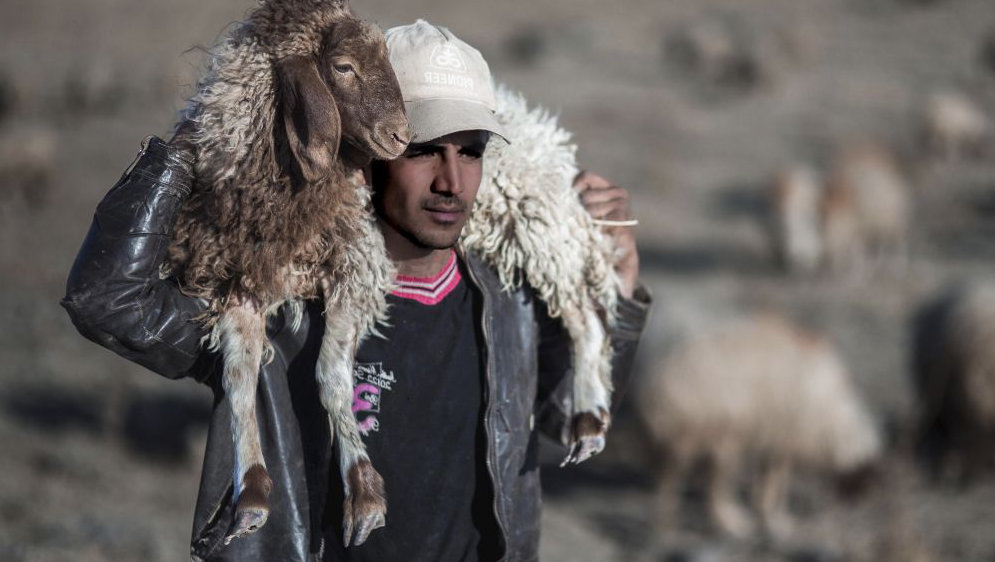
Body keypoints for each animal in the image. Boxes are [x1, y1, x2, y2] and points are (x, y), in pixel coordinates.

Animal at [163, 0, 409, 545]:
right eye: (343, 66)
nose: (402, 136)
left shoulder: (354, 267)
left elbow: (332, 375)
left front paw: (364, 494)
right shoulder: (239, 279)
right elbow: (240, 374)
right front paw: (252, 494)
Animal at [635, 313, 882, 539]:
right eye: (866, 470)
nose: (861, 503)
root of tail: (654, 399)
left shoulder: (771, 433)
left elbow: (766, 478)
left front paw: (766, 514)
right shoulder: (787, 434)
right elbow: (777, 480)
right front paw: (779, 521)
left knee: (672, 479)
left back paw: (668, 523)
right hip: (717, 430)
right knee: (707, 485)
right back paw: (729, 523)